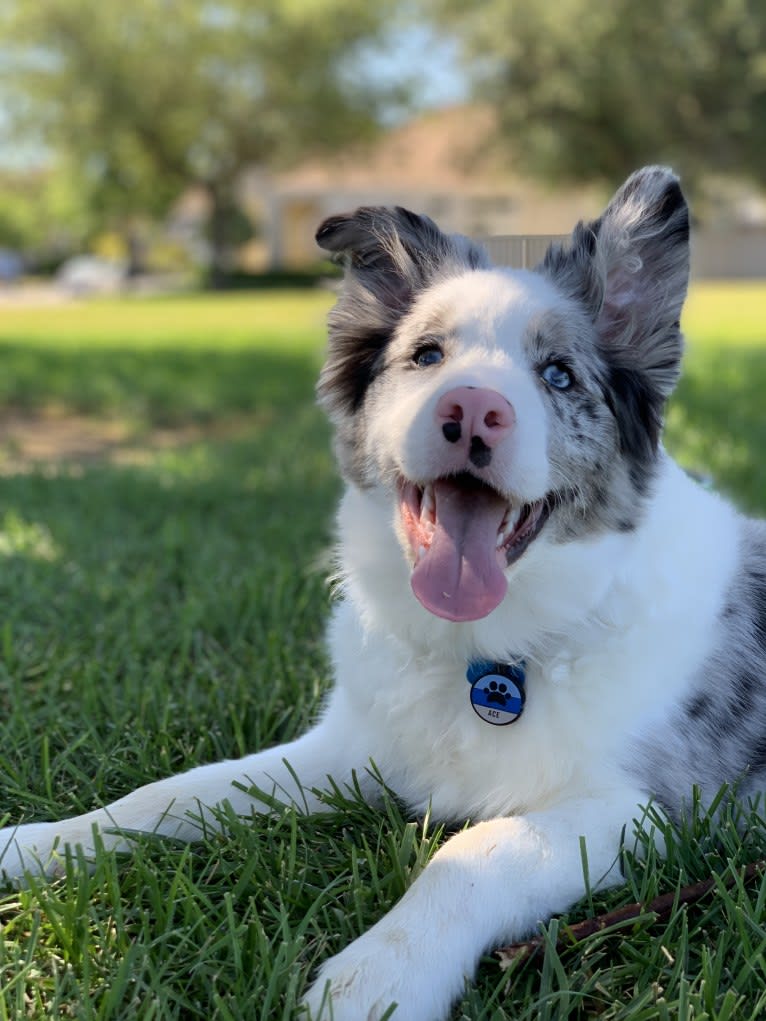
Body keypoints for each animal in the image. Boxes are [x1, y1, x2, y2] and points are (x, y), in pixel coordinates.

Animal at [1, 163, 766, 1016]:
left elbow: (477, 848)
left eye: (559, 374)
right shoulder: (349, 748)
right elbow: (174, 792)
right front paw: (39, 843)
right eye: (426, 354)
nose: (474, 409)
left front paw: (377, 978)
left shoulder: (643, 808)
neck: (488, 654)